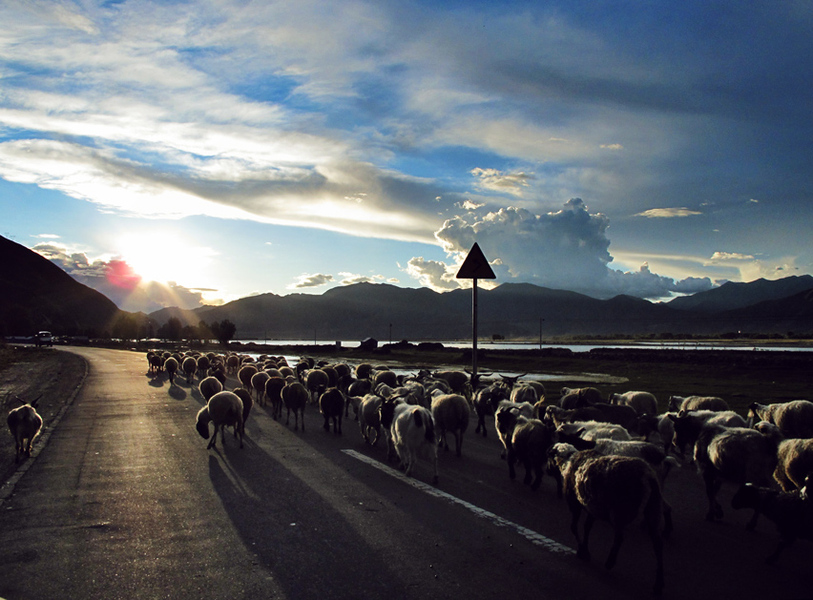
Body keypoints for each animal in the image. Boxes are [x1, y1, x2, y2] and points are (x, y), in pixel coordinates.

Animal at [554, 447, 665, 596]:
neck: (567, 462)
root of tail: (648, 476)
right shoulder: (592, 507)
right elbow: (587, 527)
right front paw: (584, 550)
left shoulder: (576, 503)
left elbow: (574, 527)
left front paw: (582, 551)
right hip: (653, 511)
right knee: (658, 545)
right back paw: (658, 584)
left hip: (619, 511)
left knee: (619, 537)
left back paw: (610, 562)